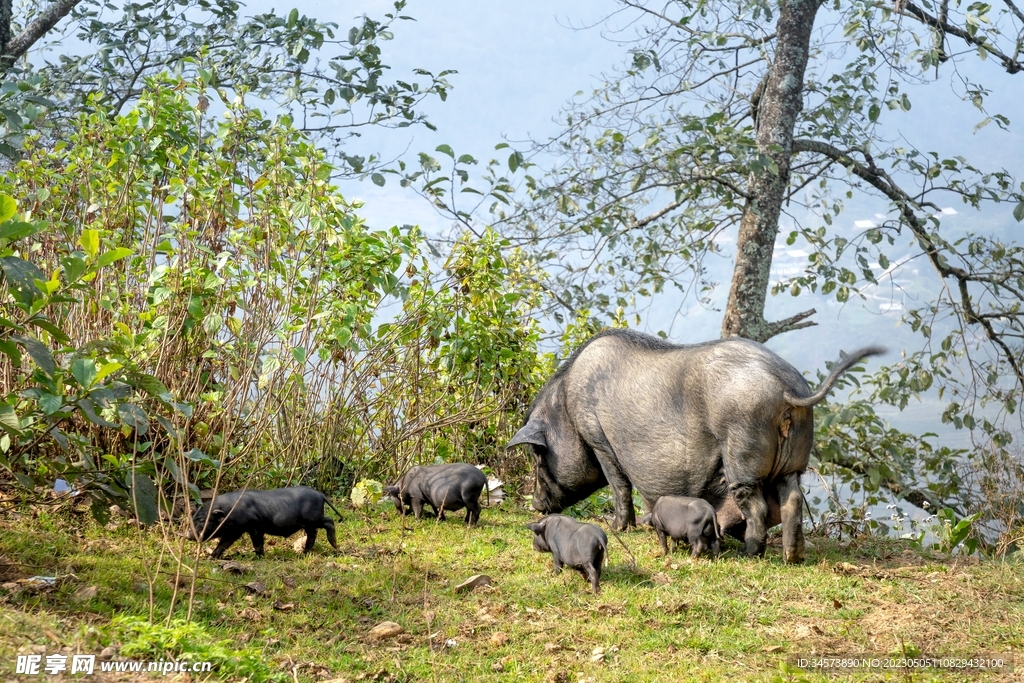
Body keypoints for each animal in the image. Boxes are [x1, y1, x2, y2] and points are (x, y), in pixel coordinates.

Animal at [186, 483, 342, 557]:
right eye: (193, 518)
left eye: (202, 520)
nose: (187, 535)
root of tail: (320, 495)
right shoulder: (235, 530)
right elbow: (223, 543)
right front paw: (211, 557)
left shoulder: (254, 526)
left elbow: (257, 542)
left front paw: (258, 556)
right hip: (309, 523)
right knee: (313, 533)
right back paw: (304, 552)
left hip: (313, 519)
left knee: (329, 521)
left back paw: (334, 545)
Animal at [503, 327, 880, 565]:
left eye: (537, 455)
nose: (535, 504)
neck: (566, 410)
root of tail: (789, 387)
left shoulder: (597, 438)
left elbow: (619, 485)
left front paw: (619, 526)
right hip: (794, 461)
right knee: (792, 502)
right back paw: (792, 557)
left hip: (742, 448)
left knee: (757, 505)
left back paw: (751, 553)